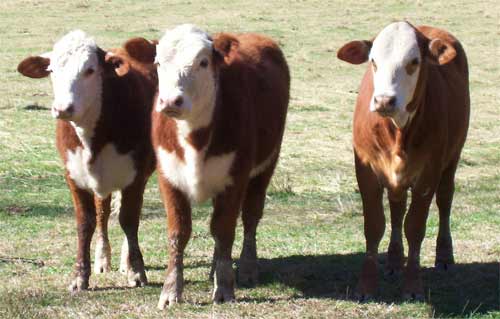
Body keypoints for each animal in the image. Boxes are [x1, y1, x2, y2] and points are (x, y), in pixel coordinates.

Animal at [16, 31, 156, 294]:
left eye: (90, 70)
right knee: (103, 213)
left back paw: (124, 261)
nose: (62, 108)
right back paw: (103, 260)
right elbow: (85, 222)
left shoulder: (135, 176)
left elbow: (129, 220)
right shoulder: (74, 176)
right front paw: (80, 276)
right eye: (52, 70)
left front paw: (136, 271)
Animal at [123, 25, 292, 308]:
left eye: (203, 62)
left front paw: (224, 288)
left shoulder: (235, 177)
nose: (171, 101)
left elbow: (223, 229)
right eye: (158, 63)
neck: (194, 137)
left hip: (266, 165)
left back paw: (246, 268)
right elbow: (179, 232)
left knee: (250, 216)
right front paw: (171, 291)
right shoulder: (168, 176)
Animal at [336, 21, 468, 302]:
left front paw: (413, 285)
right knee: (397, 209)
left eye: (414, 62)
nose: (384, 100)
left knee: (445, 200)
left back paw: (444, 256)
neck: (396, 130)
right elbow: (374, 226)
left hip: (452, 157)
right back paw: (395, 260)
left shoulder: (428, 174)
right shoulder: (366, 171)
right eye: (373, 61)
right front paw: (366, 286)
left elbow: (415, 227)